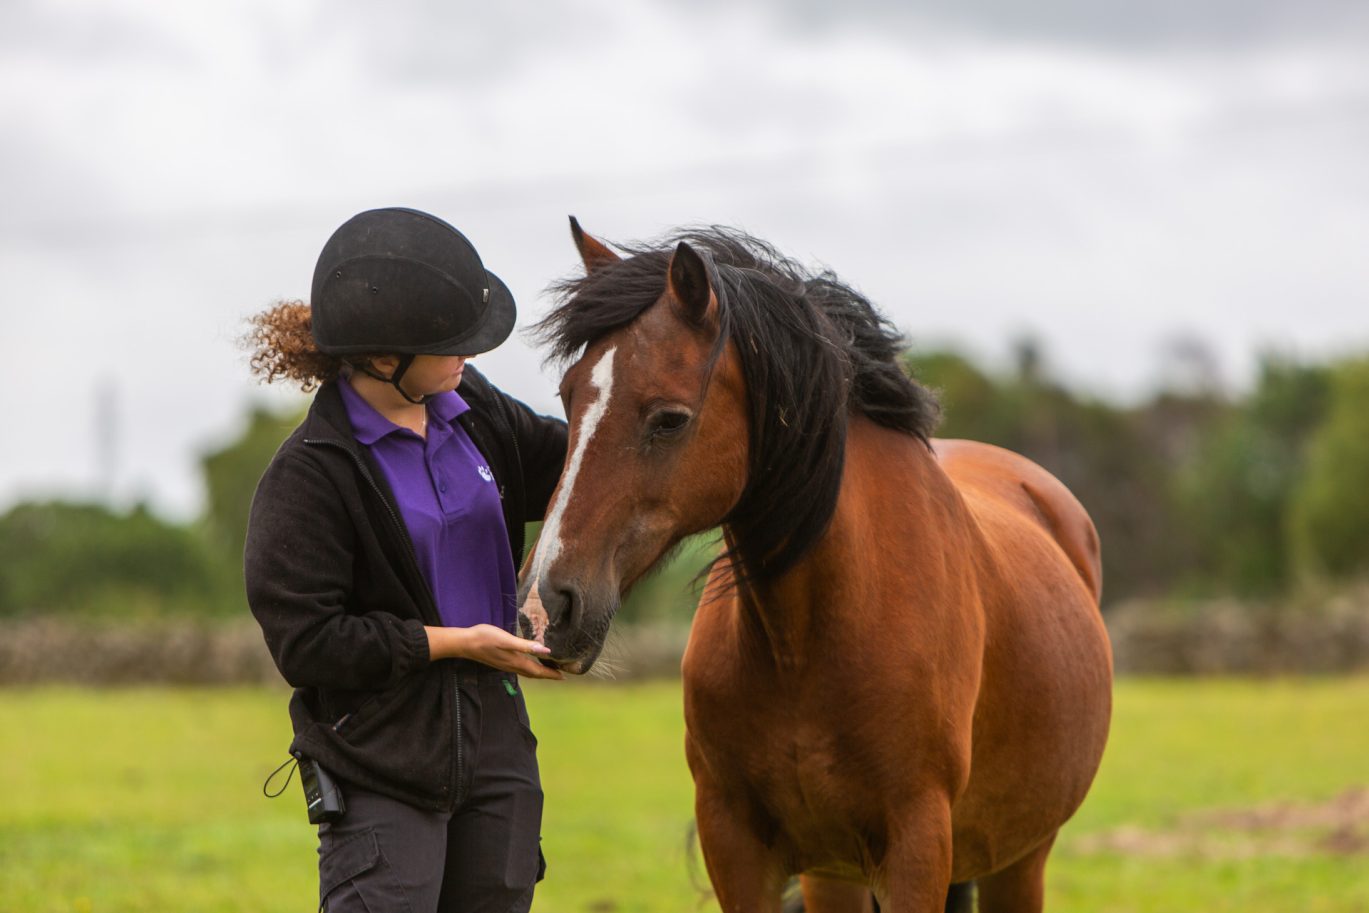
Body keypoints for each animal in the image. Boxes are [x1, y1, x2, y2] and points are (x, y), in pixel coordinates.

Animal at [514, 221, 1111, 913]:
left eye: (670, 419)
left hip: (1020, 858)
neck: (807, 642)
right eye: (568, 397)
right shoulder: (736, 844)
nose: (544, 608)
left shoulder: (917, 848)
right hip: (837, 874)